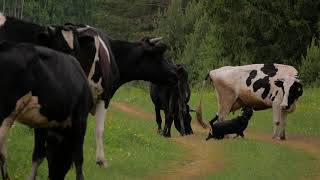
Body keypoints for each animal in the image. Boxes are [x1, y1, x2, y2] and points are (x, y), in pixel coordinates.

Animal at [0, 40, 92, 180]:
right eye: (66, 161)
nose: (54, 177)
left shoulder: (40, 124)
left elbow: (38, 154)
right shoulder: (81, 120)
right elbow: (78, 158)